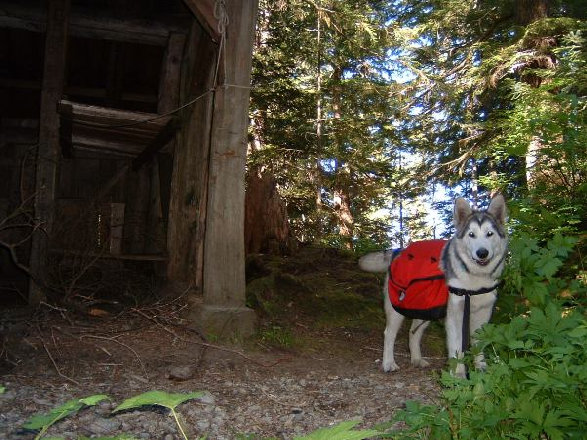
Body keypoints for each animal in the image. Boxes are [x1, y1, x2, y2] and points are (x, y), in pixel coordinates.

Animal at [360, 196, 508, 378]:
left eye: (489, 234)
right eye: (471, 235)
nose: (482, 253)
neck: (474, 282)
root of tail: (399, 251)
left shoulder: (484, 313)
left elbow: (479, 343)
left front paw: (482, 370)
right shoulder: (455, 314)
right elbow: (457, 347)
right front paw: (458, 375)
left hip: (424, 308)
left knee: (413, 332)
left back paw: (416, 359)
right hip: (397, 308)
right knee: (389, 334)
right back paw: (388, 362)